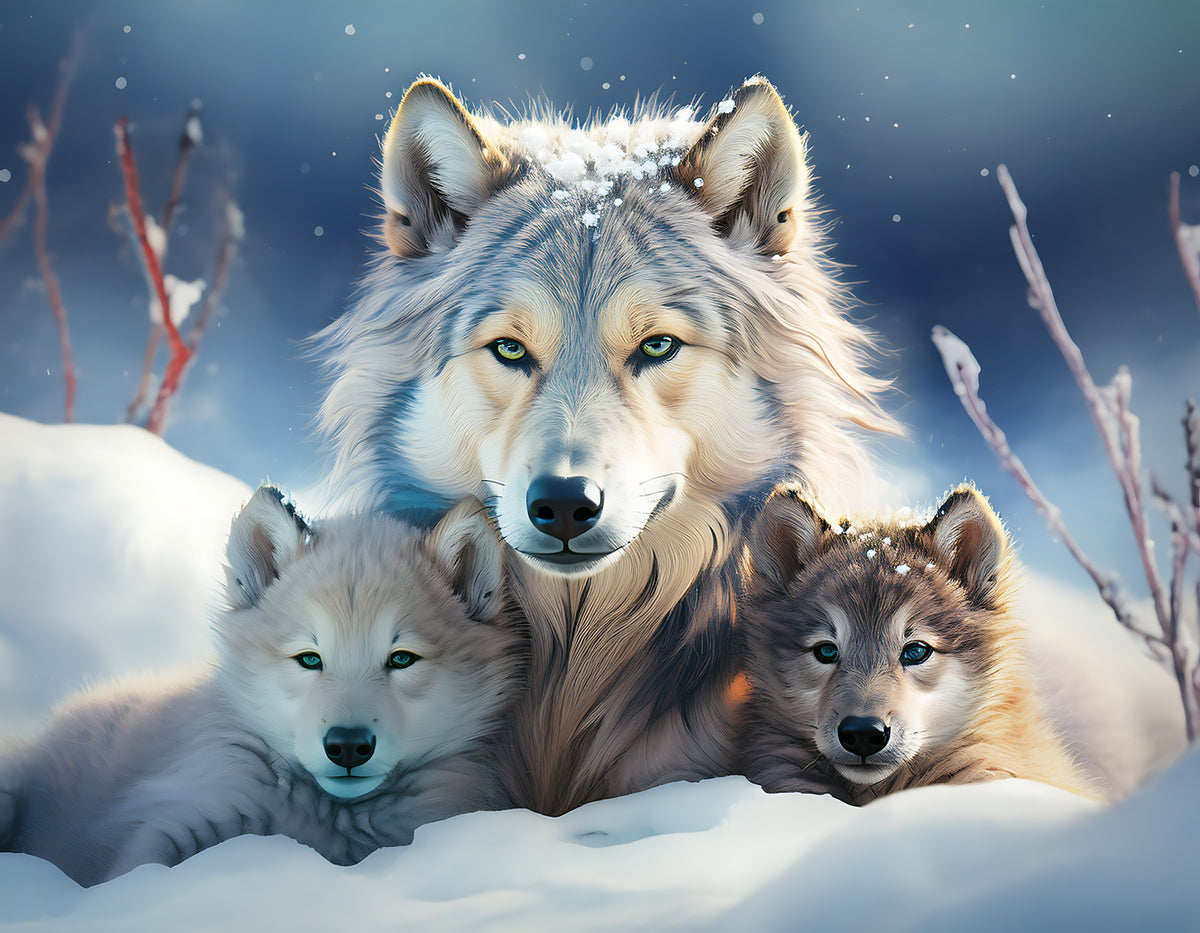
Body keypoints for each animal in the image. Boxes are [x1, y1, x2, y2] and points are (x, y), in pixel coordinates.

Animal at [0, 487, 522, 885]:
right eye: (309, 659)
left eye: (401, 659)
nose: (347, 746)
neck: (326, 816)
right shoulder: (195, 806)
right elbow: (141, 867)